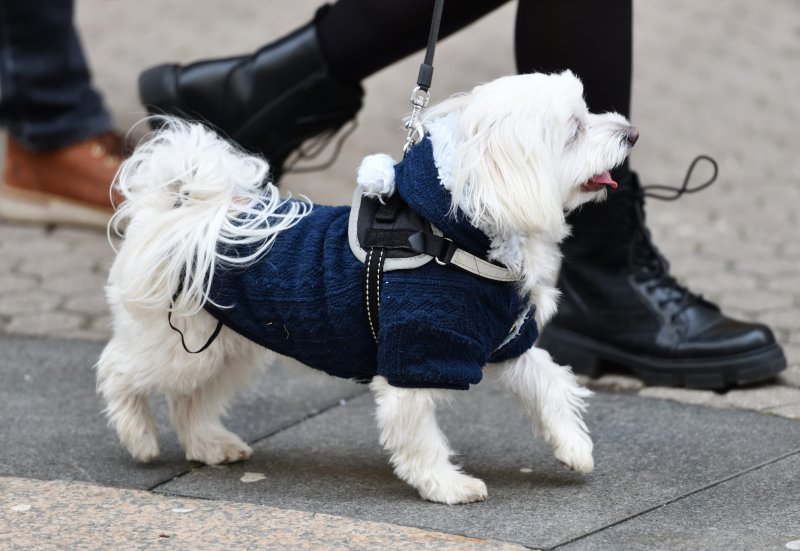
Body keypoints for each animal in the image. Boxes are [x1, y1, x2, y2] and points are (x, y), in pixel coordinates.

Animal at [97, 71, 636, 506]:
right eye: (574, 129)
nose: (631, 133)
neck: (453, 230)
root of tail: (174, 214)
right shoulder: (417, 353)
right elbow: (417, 435)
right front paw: (447, 486)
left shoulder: (502, 339)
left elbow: (548, 384)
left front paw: (573, 446)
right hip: (176, 344)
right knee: (119, 370)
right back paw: (138, 436)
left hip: (227, 348)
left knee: (188, 400)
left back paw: (208, 445)